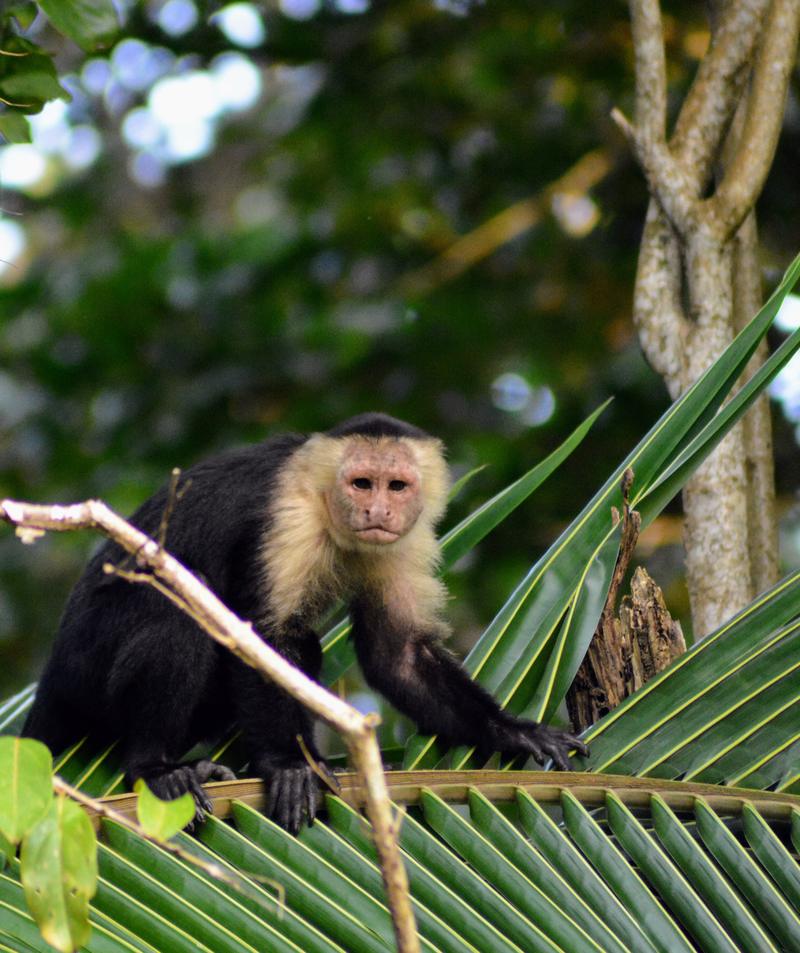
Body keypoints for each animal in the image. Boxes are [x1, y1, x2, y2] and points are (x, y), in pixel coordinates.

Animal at [23, 412, 588, 833]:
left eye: (396, 486)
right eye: (361, 483)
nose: (377, 509)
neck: (324, 503)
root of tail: (50, 676)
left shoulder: (407, 536)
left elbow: (397, 652)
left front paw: (512, 731)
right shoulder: (287, 518)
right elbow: (262, 637)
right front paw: (289, 767)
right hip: (86, 665)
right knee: (179, 611)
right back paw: (154, 768)